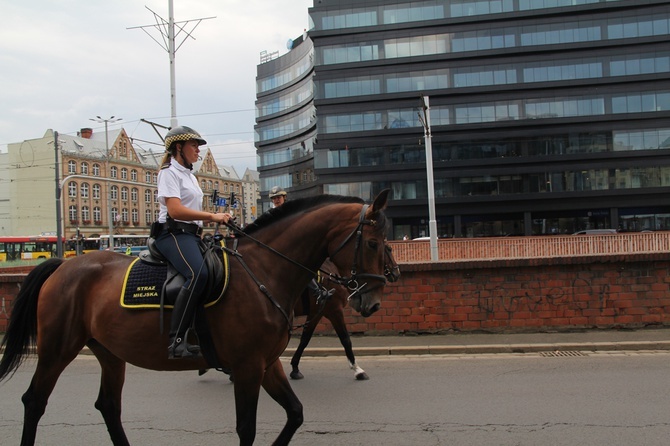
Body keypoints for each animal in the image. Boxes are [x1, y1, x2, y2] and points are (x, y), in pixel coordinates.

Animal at [290, 244, 400, 380]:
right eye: (389, 249)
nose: (397, 272)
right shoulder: (334, 311)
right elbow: (345, 339)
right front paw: (357, 369)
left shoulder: (317, 313)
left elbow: (305, 339)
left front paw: (295, 368)